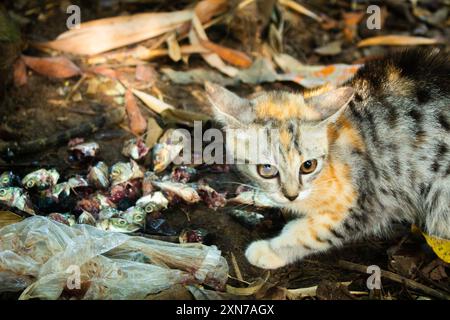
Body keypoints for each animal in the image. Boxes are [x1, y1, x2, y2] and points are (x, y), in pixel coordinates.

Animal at [207, 49, 450, 270]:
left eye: (308, 166)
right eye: (266, 169)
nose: (291, 195)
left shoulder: (369, 202)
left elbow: (311, 233)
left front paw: (270, 250)